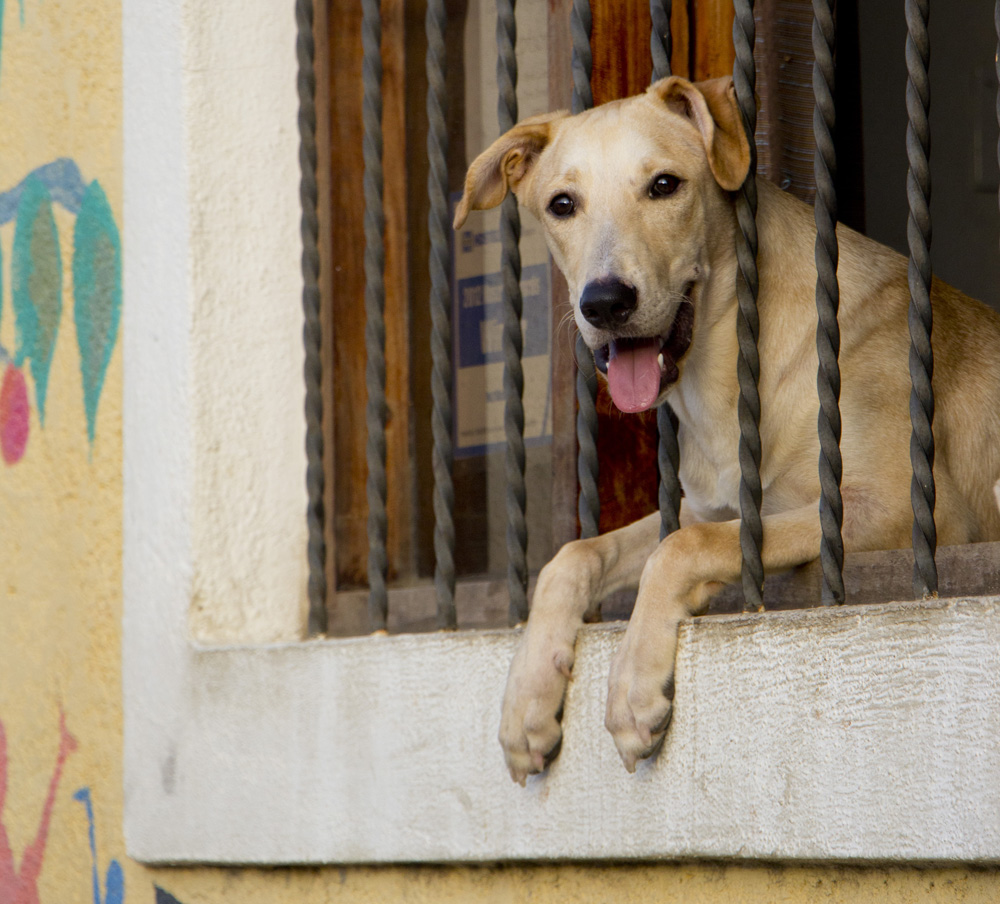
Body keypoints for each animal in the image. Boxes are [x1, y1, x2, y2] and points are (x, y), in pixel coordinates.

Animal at [458, 76, 1000, 784]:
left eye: (665, 185)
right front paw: (526, 697)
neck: (723, 378)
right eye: (562, 204)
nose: (604, 303)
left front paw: (633, 684)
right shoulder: (705, 505)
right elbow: (577, 553)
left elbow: (682, 548)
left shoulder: (908, 511)